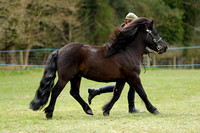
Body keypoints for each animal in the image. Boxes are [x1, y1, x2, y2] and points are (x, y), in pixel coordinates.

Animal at [29, 17, 167, 118]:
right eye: (155, 33)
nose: (164, 47)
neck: (127, 51)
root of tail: (60, 50)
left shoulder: (122, 79)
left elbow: (116, 94)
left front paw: (106, 110)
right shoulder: (133, 77)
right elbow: (142, 93)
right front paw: (154, 109)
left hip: (76, 77)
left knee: (74, 92)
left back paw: (88, 109)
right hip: (65, 77)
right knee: (56, 91)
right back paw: (49, 113)